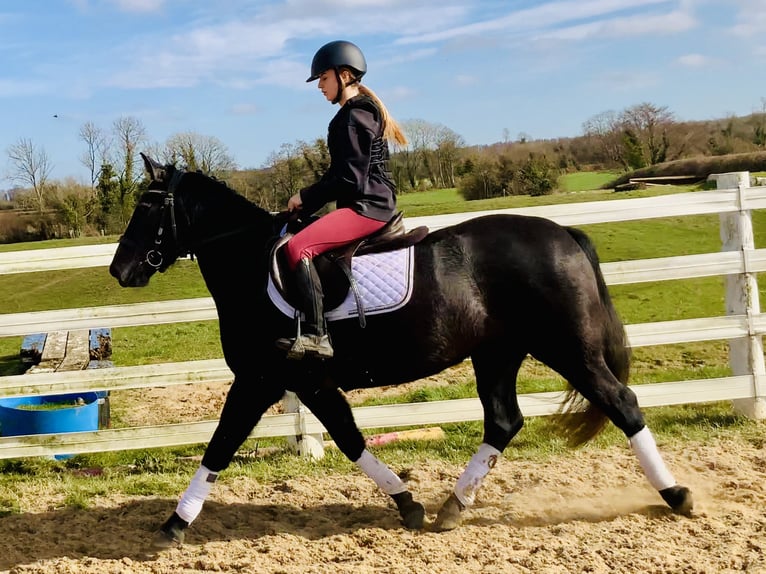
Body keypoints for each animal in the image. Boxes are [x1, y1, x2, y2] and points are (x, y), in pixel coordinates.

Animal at [109, 155, 696, 548]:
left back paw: (677, 496)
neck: (251, 266)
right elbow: (350, 441)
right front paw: (408, 504)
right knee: (504, 421)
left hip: (567, 349)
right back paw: (452, 507)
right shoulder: (309, 383)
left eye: (148, 204)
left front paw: (173, 525)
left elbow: (220, 445)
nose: (120, 270)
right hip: (497, 353)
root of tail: (564, 233)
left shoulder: (260, 379)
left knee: (622, 404)